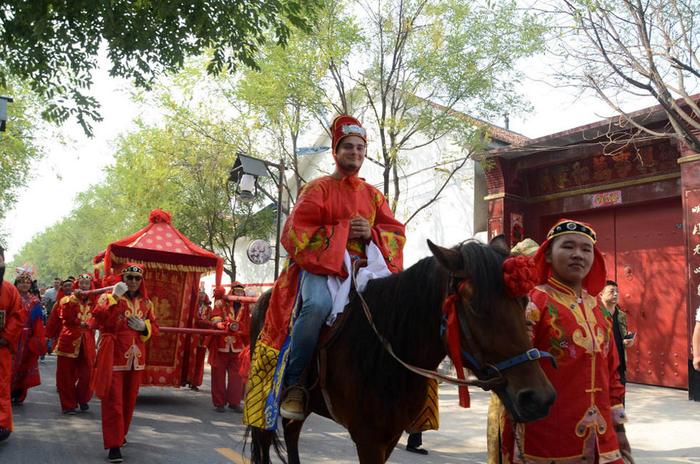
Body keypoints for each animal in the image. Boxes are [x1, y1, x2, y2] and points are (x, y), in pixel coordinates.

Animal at [249, 237, 556, 462]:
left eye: (524, 300)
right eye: (477, 306)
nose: (539, 397)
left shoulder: (390, 435)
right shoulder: (368, 438)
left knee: (292, 434)